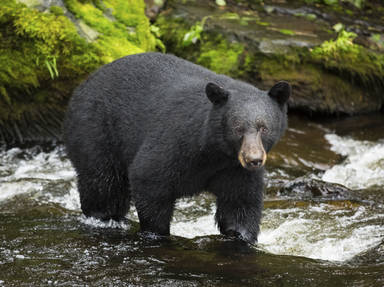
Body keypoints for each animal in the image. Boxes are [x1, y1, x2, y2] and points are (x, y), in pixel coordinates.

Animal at [63, 52, 292, 245]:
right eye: (238, 128)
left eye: (264, 127)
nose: (254, 159)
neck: (214, 152)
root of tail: (83, 85)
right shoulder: (174, 142)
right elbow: (149, 178)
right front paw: (158, 233)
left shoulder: (234, 170)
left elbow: (240, 204)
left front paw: (242, 236)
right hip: (96, 132)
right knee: (103, 185)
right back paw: (104, 217)